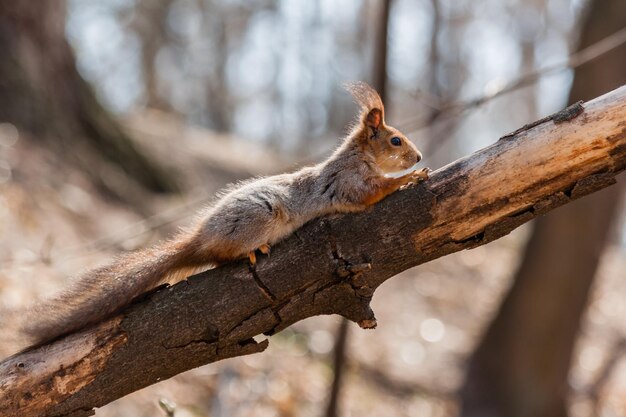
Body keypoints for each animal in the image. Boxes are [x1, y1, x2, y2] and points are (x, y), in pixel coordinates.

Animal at [18, 81, 428, 348]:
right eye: (396, 140)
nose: (419, 156)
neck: (359, 158)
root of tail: (201, 238)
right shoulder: (347, 185)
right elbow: (372, 194)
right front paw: (409, 178)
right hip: (258, 220)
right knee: (221, 256)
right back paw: (251, 251)